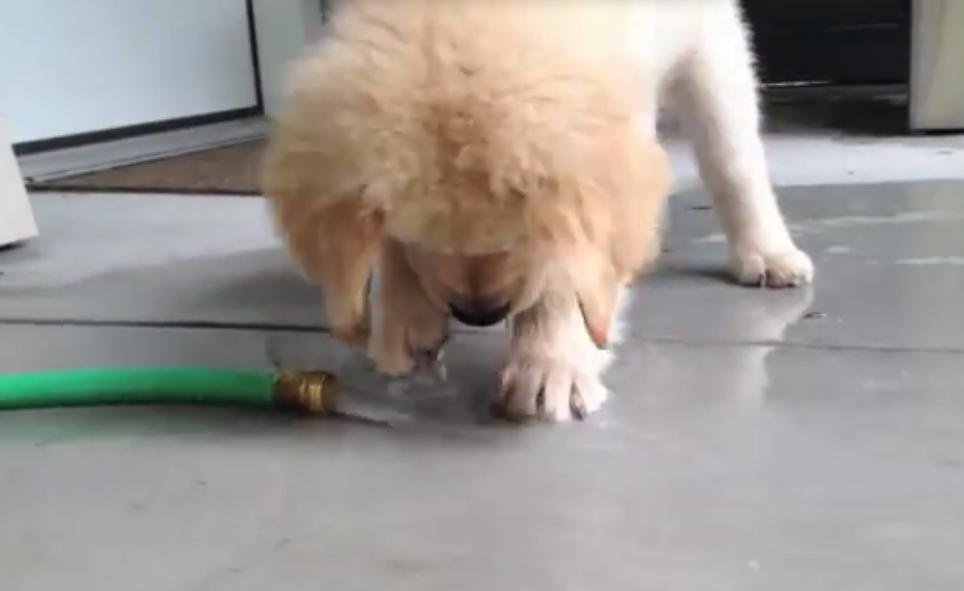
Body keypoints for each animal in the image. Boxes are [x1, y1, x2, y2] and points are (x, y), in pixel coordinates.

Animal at [264, 1, 812, 426]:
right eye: (422, 232)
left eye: (526, 231)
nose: (479, 314)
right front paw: (402, 315)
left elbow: (571, 264)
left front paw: (551, 366)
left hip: (709, 44)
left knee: (733, 155)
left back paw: (768, 252)